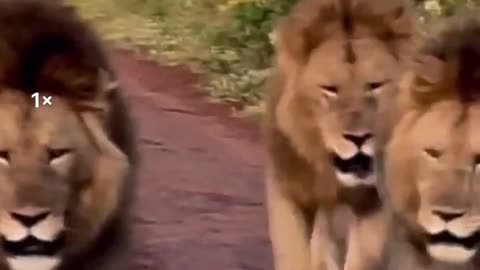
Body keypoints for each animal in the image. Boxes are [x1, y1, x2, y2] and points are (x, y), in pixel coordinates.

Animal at [264, 0, 418, 270]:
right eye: (330, 89)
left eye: (375, 85)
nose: (358, 138)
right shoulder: (286, 188)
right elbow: (293, 254)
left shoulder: (373, 202)